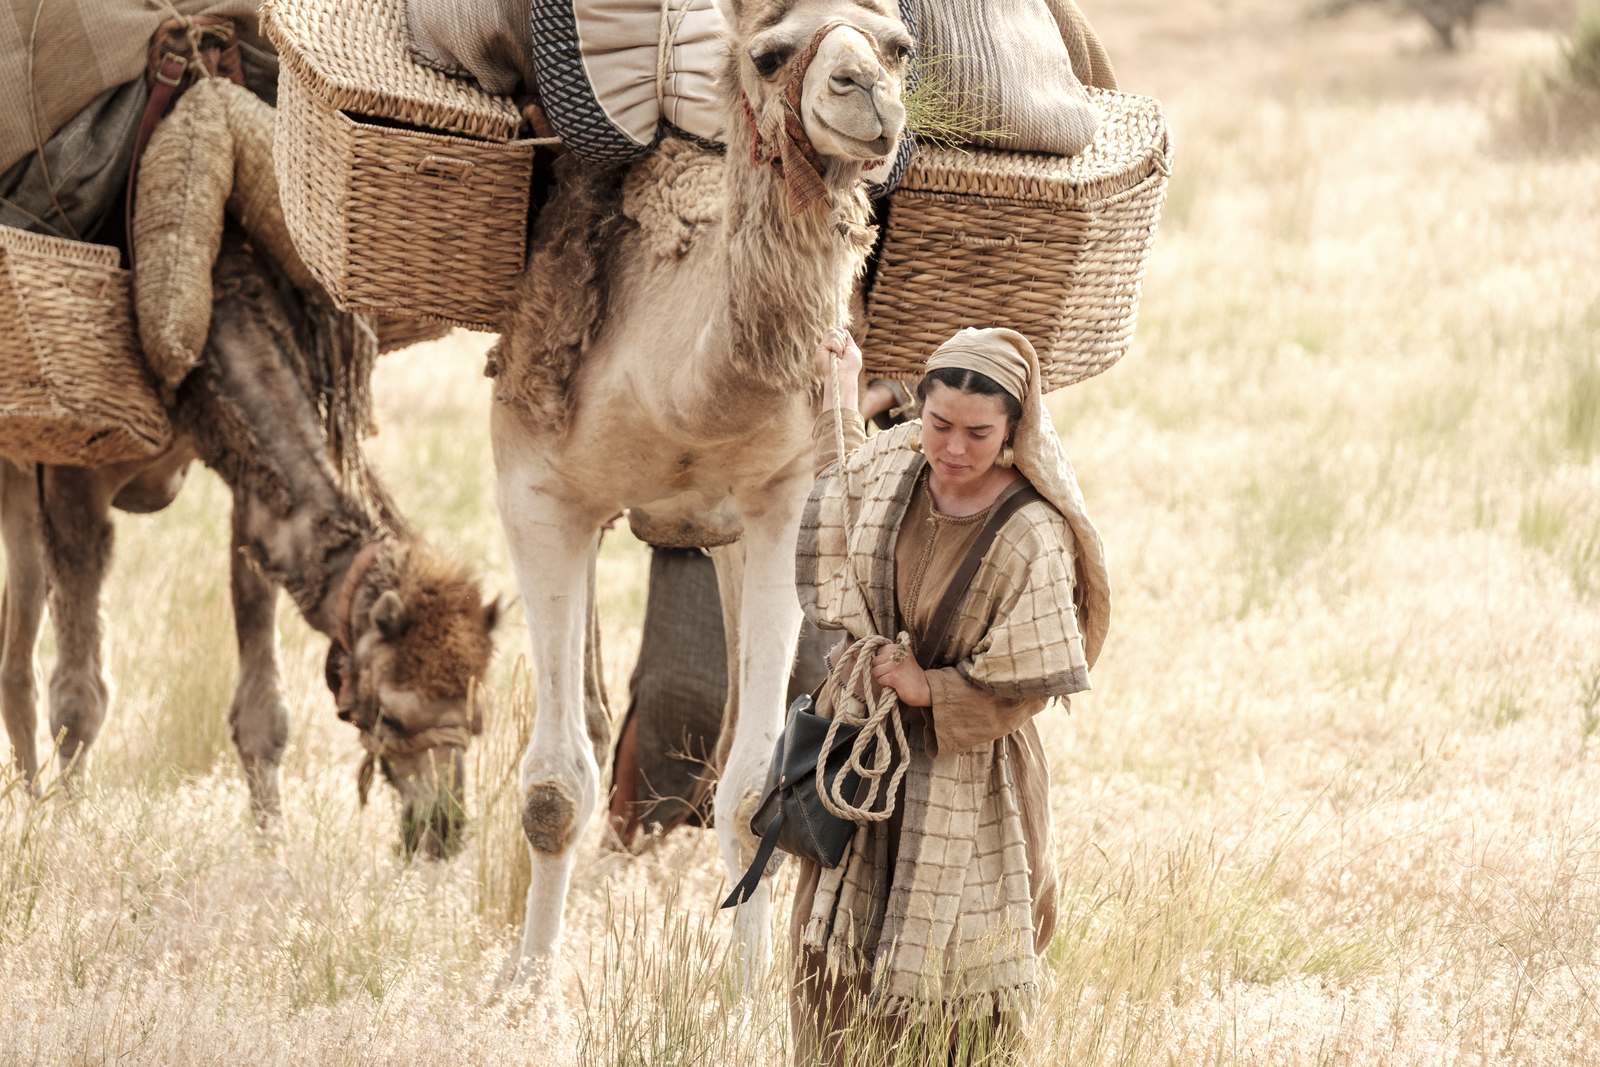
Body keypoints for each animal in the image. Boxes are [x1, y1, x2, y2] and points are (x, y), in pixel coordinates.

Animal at [0, 233, 499, 857]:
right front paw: (62, 840)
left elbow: (265, 707)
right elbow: (78, 698)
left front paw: (272, 850)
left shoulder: (253, 491)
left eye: (477, 714)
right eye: (393, 717)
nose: (444, 827)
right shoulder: (74, 472)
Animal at [486, 0, 915, 985]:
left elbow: (756, 790)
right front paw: (527, 987)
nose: (865, 92)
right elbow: (553, 789)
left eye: (901, 45)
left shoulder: (784, 500)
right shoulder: (536, 491)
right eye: (770, 54)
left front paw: (752, 995)